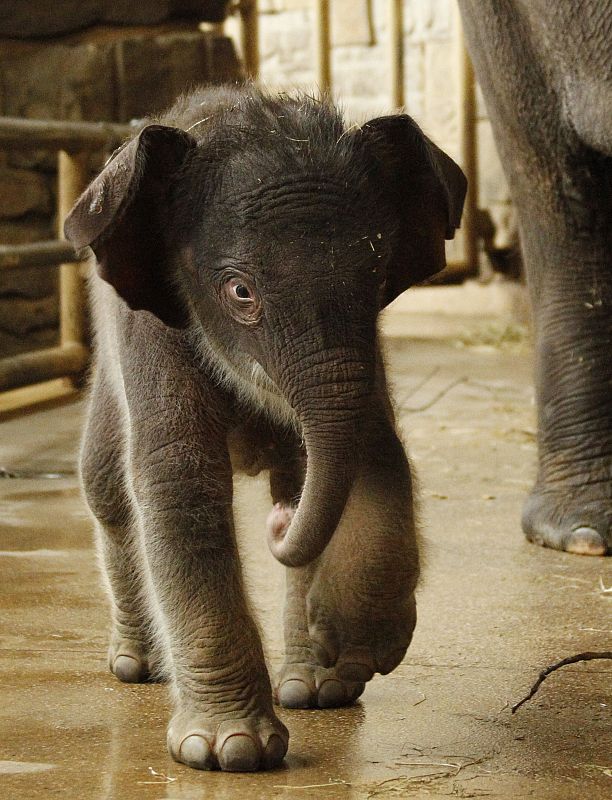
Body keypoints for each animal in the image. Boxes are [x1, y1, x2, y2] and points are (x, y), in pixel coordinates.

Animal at [65, 84, 464, 772]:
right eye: (240, 292)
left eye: (376, 278)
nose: (278, 525)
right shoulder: (149, 330)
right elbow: (178, 478)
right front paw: (228, 752)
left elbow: (375, 454)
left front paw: (350, 639)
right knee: (106, 487)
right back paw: (137, 667)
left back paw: (316, 691)